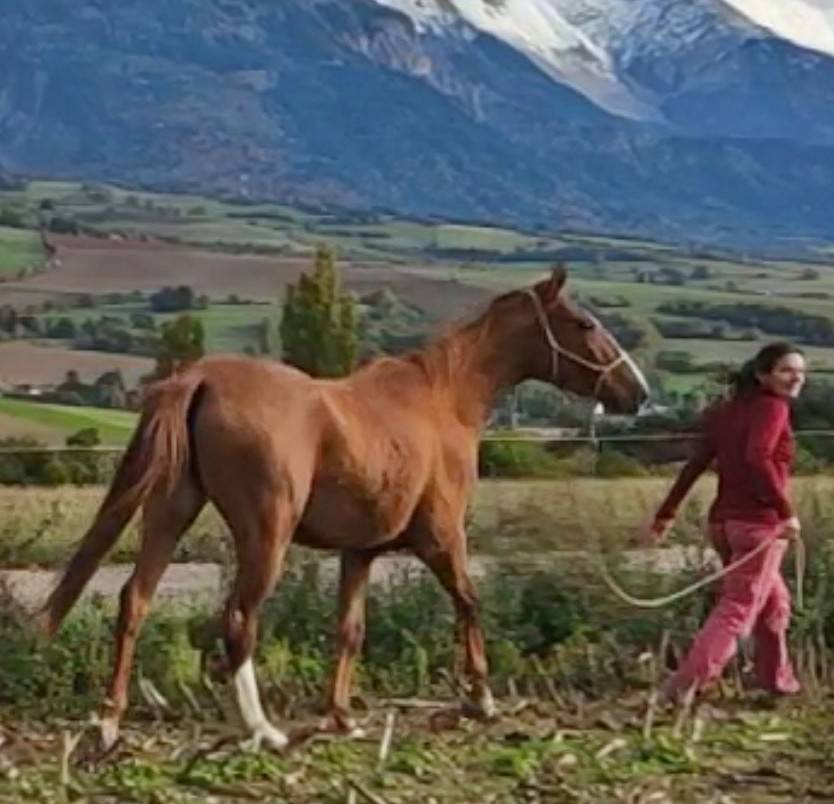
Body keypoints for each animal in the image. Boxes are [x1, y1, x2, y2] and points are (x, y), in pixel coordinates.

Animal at [39, 265, 649, 751]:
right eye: (584, 324)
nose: (638, 392)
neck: (443, 399)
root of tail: (199, 377)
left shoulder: (360, 552)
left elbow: (349, 629)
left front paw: (341, 716)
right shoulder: (442, 537)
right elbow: (470, 602)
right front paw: (481, 698)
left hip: (170, 513)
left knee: (135, 601)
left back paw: (109, 723)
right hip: (266, 533)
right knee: (238, 619)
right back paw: (262, 729)